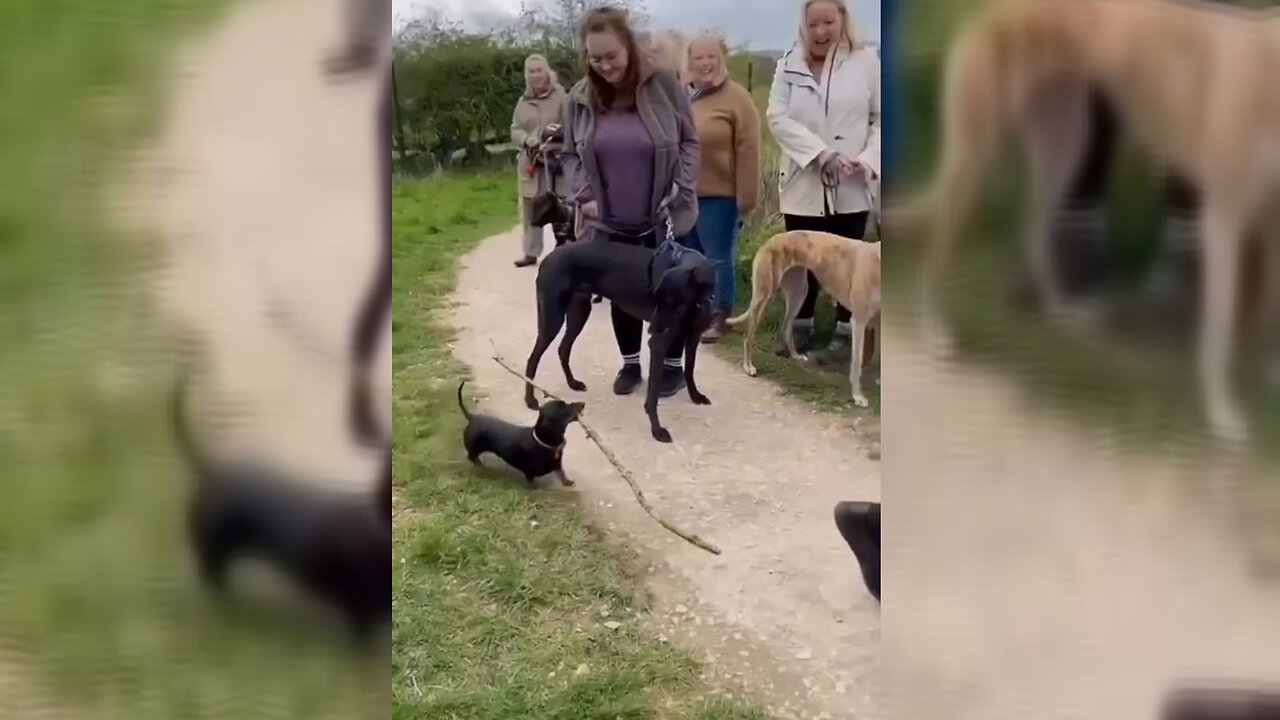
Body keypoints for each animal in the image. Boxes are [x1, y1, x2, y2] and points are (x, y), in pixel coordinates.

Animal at [732, 233, 880, 407]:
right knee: (748, 337)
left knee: (786, 327)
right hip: (763, 296)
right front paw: (858, 396)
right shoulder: (859, 321)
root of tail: (772, 239)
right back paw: (748, 366)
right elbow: (856, 366)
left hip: (798, 293)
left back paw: (795, 355)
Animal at [901, 0, 1280, 443]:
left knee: (1033, 231)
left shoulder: (1272, 222)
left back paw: (1060, 314)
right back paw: (936, 332)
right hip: (973, 158)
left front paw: (1265, 374)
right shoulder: (1223, 217)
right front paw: (1223, 413)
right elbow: (1218, 330)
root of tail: (989, 16)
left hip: (1064, 146)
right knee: (936, 253)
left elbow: (1268, 313)